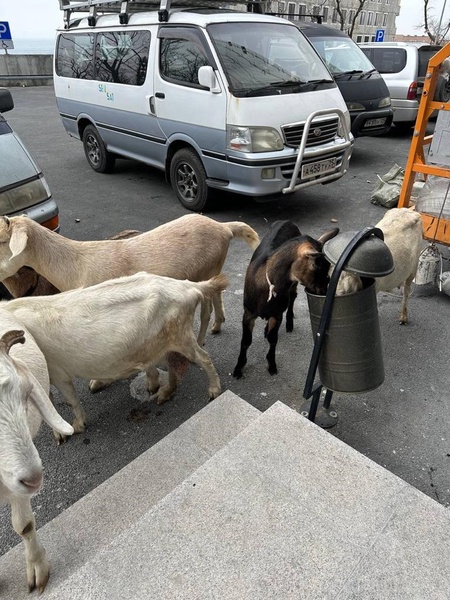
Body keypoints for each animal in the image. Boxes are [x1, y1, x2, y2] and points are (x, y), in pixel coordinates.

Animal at [0, 216, 258, 346]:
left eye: (3, 241)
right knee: (217, 293)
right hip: (213, 267)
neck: (77, 264)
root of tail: (224, 227)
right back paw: (217, 325)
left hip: (206, 268)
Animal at [3, 274, 227, 438]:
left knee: (202, 358)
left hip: (181, 335)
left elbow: (70, 400)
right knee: (173, 363)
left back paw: (214, 390)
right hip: (165, 340)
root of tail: (188, 287)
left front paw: (76, 426)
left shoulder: (57, 372)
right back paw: (162, 391)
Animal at [234, 220, 336, 380]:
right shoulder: (248, 313)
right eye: (316, 265)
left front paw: (272, 365)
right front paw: (238, 368)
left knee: (292, 298)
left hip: (292, 288)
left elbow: (273, 338)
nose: (324, 292)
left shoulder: (277, 314)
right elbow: (246, 341)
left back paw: (289, 323)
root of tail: (287, 221)